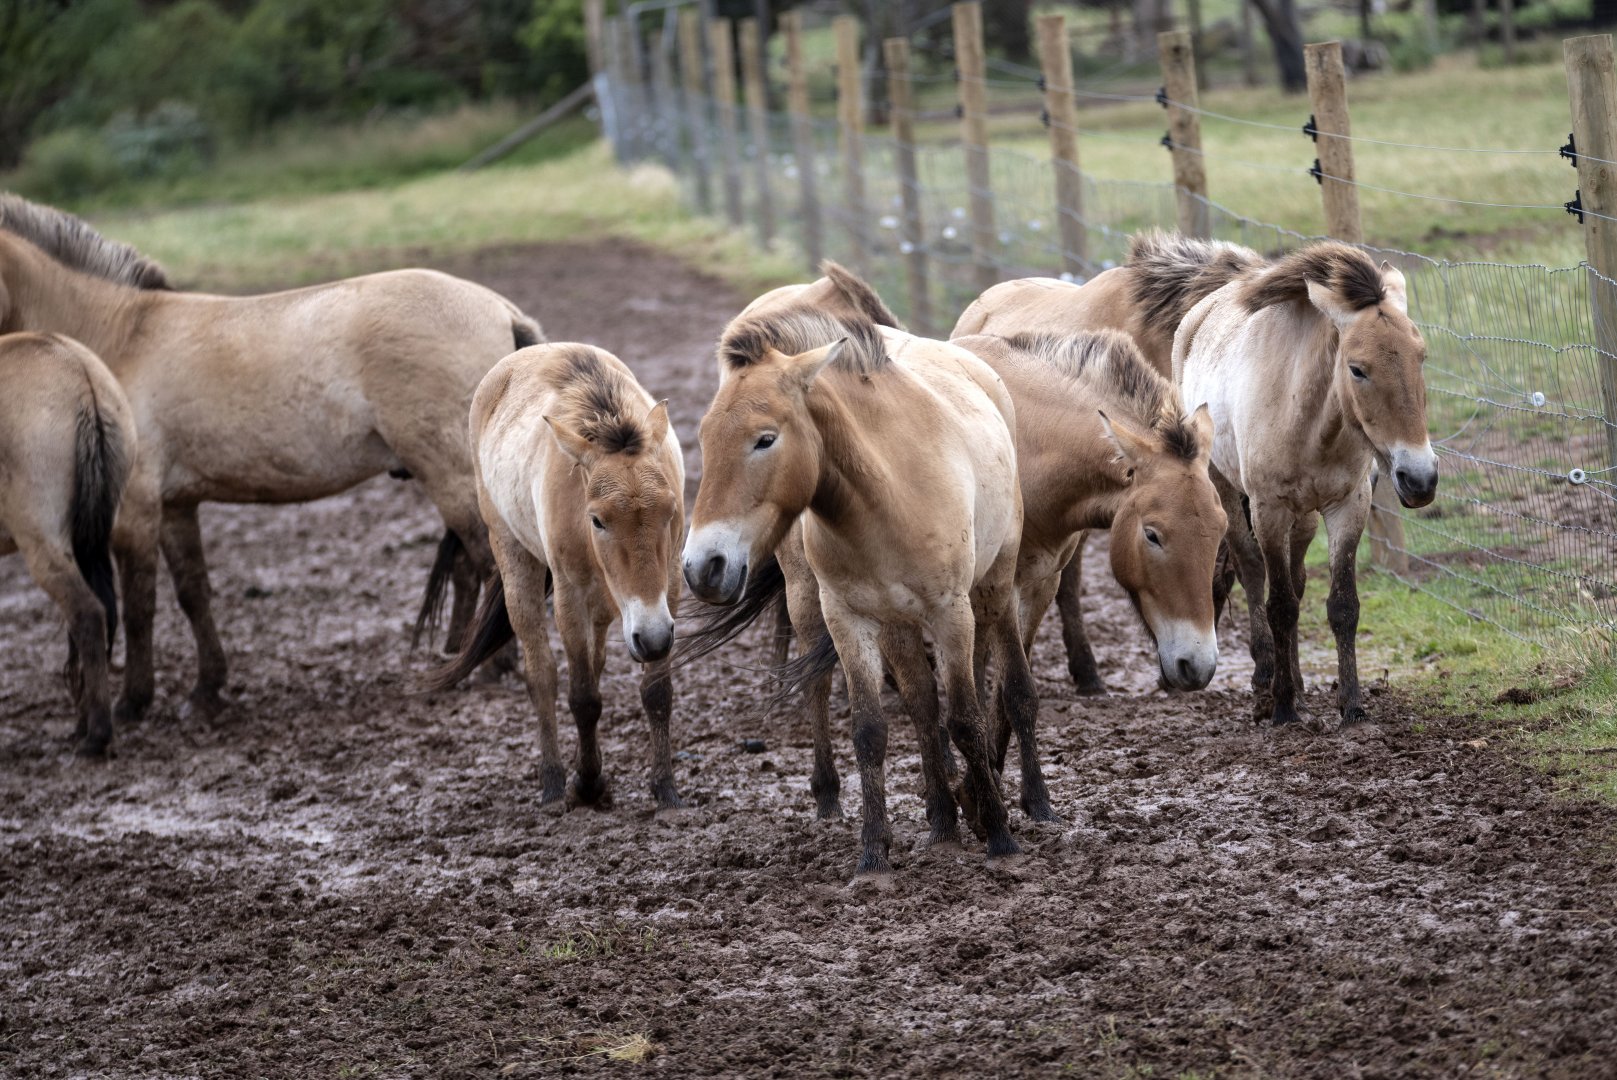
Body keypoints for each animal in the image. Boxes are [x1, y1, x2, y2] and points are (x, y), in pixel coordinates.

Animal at [427, 344, 685, 809]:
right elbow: (582, 697)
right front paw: (588, 784)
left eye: (669, 510)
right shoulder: (571, 597)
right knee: (542, 674)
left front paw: (665, 788)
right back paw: (552, 780)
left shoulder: (667, 590)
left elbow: (656, 691)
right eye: (597, 520)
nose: (651, 636)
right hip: (515, 562)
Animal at [680, 296, 1027, 874]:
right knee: (918, 702)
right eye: (705, 438)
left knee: (1001, 681)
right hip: (882, 620)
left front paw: (999, 834)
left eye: (765, 439)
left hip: (995, 586)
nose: (702, 566)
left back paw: (1030, 805)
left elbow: (965, 718)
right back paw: (942, 821)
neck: (885, 495)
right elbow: (870, 730)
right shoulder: (849, 618)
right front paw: (873, 854)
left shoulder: (951, 613)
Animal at [1174, 242, 1437, 726]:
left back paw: (1294, 681)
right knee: (1254, 573)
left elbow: (1342, 605)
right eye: (1357, 369)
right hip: (1229, 491)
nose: (1420, 478)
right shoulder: (1270, 510)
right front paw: (1282, 708)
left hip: (1305, 518)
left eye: (1421, 357)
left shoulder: (1348, 507)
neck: (1311, 421)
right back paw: (1266, 681)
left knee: (1295, 581)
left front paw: (1351, 705)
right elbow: (1279, 605)